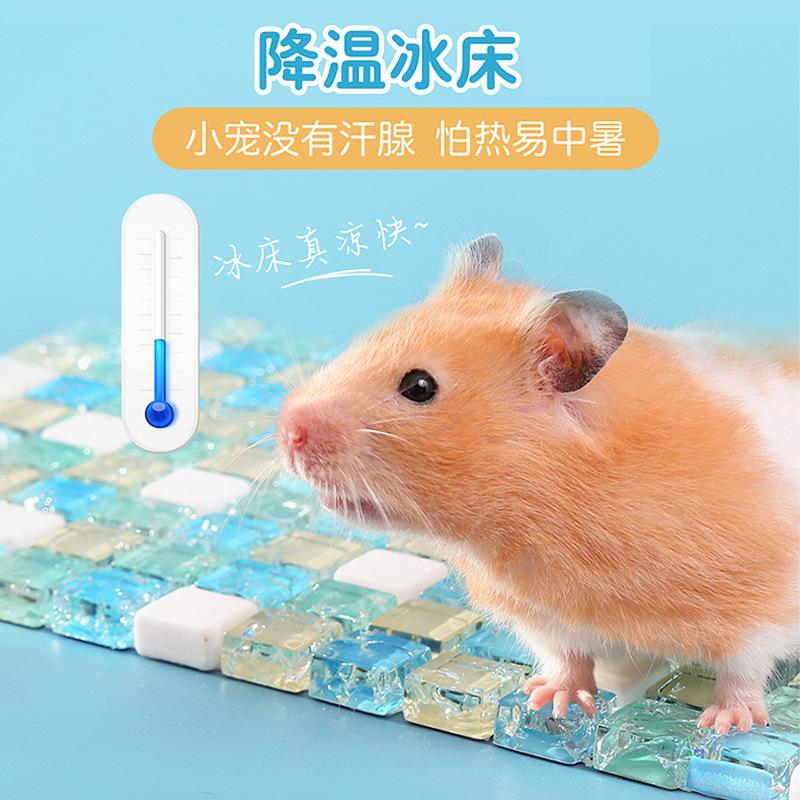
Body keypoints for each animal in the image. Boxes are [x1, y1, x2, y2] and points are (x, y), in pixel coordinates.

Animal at [278, 234, 799, 733]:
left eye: (419, 387)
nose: (287, 431)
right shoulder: (544, 617)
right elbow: (567, 660)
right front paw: (548, 702)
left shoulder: (762, 603)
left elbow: (743, 666)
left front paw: (727, 724)